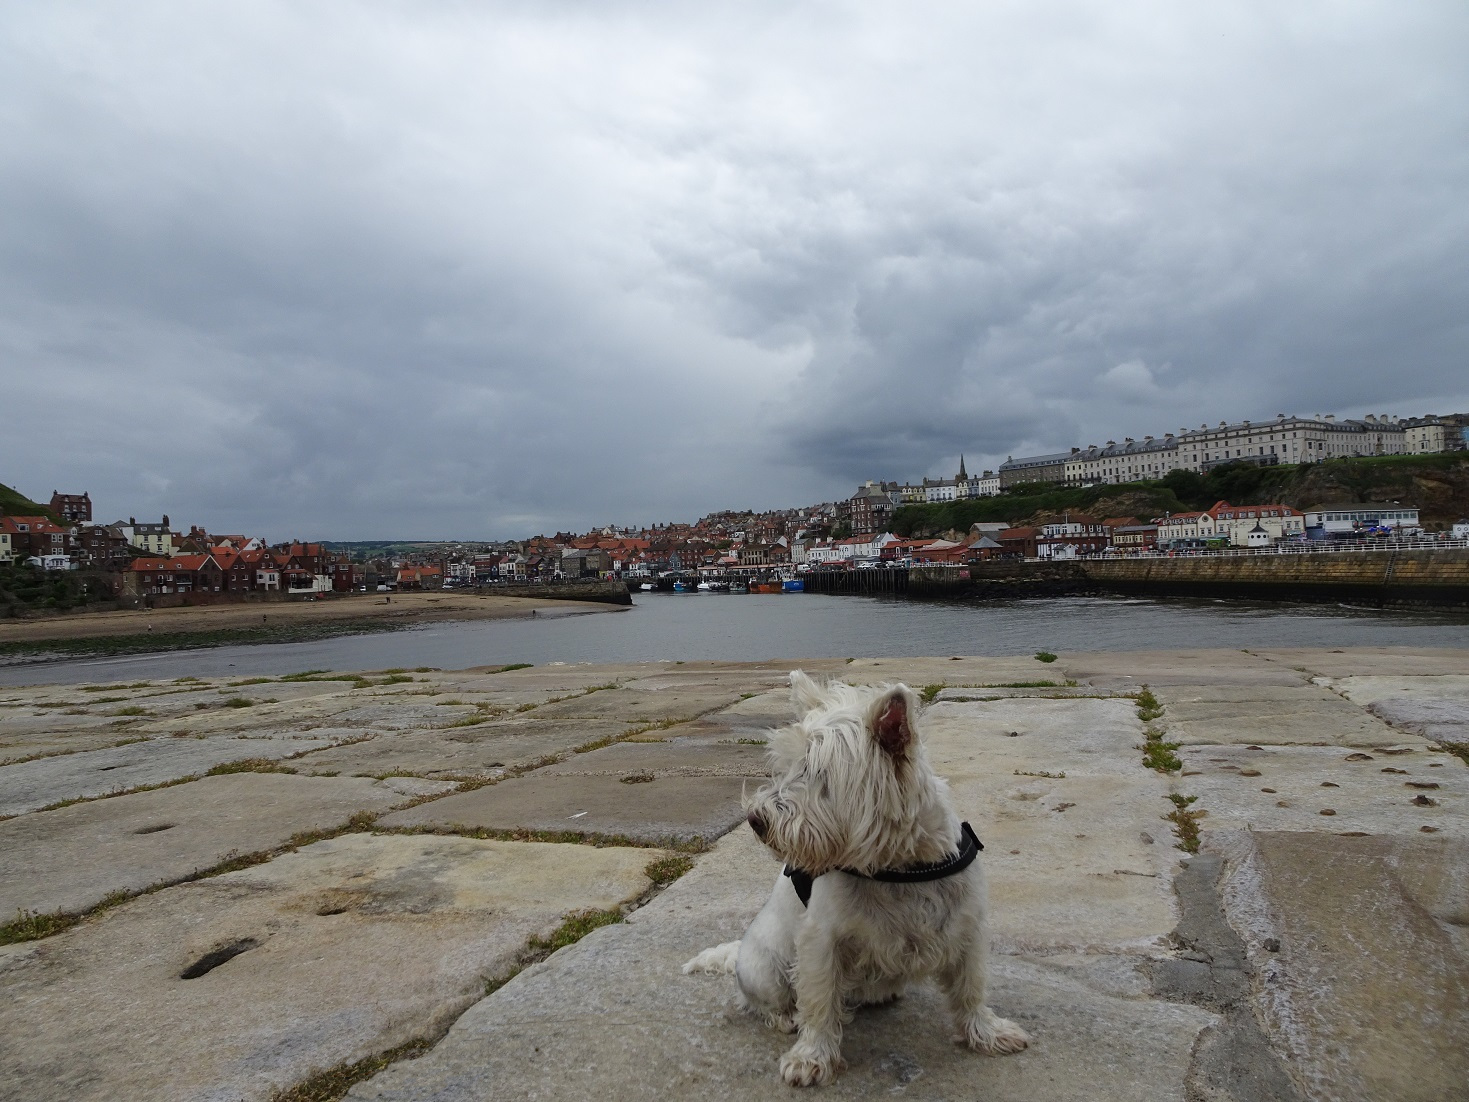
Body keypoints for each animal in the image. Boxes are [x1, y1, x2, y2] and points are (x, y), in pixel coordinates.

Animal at [681, 672, 1028, 1087]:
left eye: (820, 774)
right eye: (788, 766)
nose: (755, 819)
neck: (898, 866)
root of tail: (740, 951)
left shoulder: (966, 928)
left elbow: (971, 988)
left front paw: (989, 1033)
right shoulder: (821, 941)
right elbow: (818, 1003)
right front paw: (810, 1058)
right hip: (763, 969)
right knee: (762, 1001)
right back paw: (784, 1017)